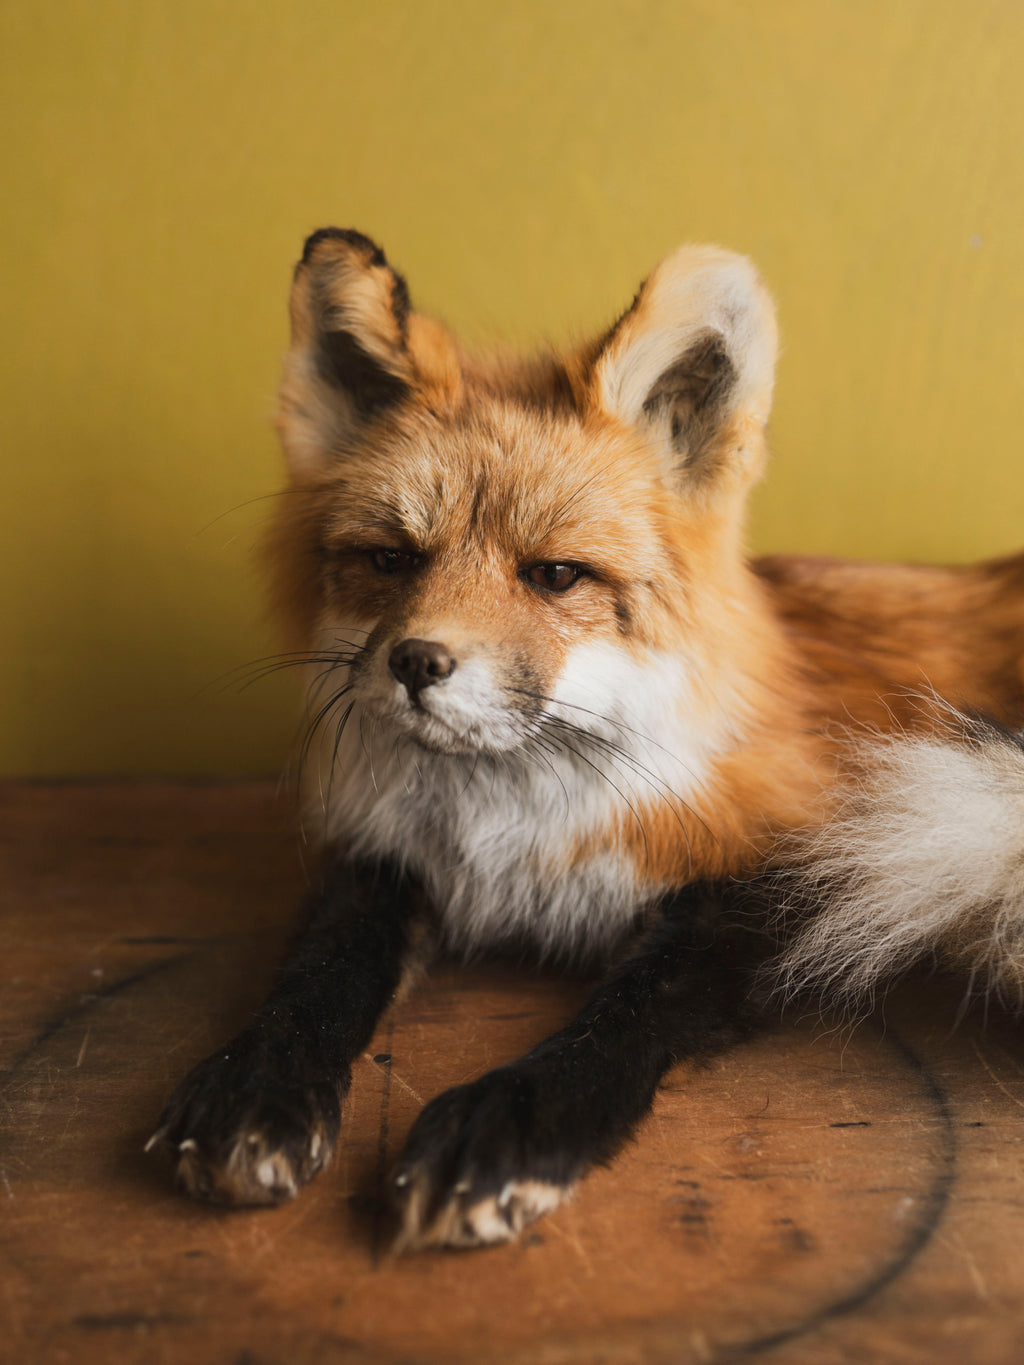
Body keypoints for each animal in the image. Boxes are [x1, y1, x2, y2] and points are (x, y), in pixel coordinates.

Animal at [151, 228, 1024, 1250]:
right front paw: (254, 1081)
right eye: (391, 559)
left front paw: (509, 1123)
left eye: (556, 574)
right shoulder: (385, 857)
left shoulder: (814, 862)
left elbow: (629, 1011)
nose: (415, 661)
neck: (512, 838)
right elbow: (318, 968)